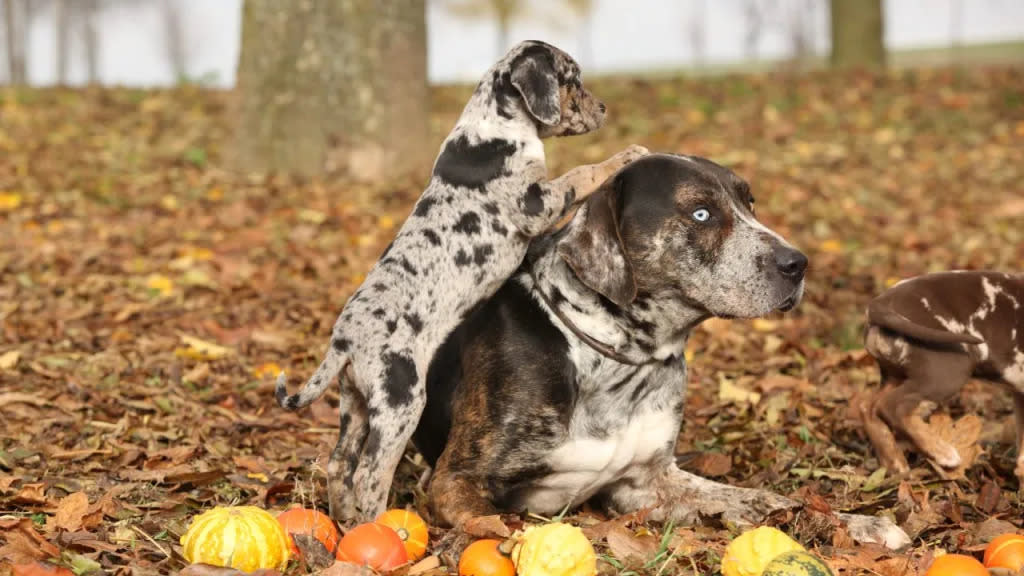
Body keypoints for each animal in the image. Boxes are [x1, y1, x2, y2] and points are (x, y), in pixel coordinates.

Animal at [278, 40, 647, 522]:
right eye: (572, 80)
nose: (603, 108)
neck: (492, 126)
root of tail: (344, 340)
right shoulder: (536, 202)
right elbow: (582, 172)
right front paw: (627, 155)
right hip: (400, 402)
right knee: (370, 473)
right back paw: (378, 524)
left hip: (355, 403)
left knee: (340, 463)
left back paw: (343, 523)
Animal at [864, 270, 1024, 481]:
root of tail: (881, 302)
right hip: (947, 372)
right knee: (893, 406)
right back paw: (942, 452)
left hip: (897, 375)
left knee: (868, 407)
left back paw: (895, 462)